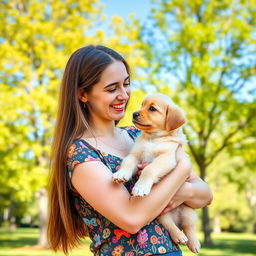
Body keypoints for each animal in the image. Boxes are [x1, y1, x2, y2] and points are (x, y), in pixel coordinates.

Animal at [113, 93, 201, 253]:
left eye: (152, 108)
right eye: (142, 105)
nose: (134, 113)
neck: (153, 138)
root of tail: (177, 219)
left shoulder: (166, 158)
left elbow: (150, 169)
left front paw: (140, 187)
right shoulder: (136, 155)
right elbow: (127, 162)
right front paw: (121, 175)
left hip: (188, 212)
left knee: (189, 227)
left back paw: (193, 243)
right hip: (161, 213)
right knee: (171, 226)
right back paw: (179, 236)